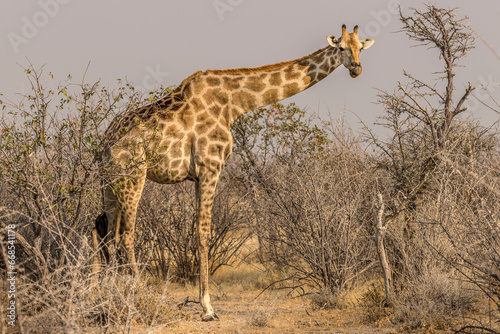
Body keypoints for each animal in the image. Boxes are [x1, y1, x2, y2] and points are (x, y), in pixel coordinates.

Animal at [94, 24, 376, 320]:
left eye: (360, 47)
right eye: (341, 47)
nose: (356, 68)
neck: (234, 103)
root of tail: (107, 141)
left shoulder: (199, 176)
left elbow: (199, 231)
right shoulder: (210, 166)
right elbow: (204, 233)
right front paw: (207, 307)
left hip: (109, 183)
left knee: (108, 233)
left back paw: (108, 294)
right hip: (132, 178)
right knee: (127, 235)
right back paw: (134, 297)